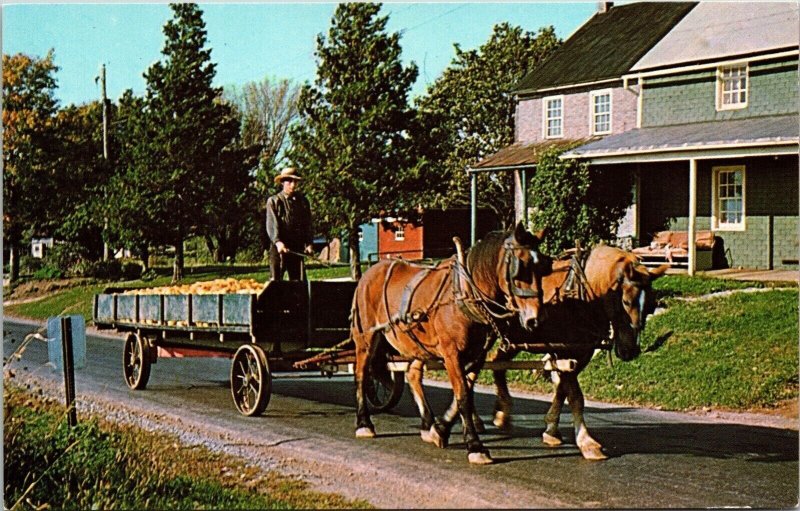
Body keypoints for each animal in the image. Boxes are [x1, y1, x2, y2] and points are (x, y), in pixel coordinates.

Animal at [352, 222, 552, 466]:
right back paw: (364, 423)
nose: (536, 318)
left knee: (412, 374)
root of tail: (369, 272)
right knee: (361, 374)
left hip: (418, 344)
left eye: (544, 268)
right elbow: (463, 396)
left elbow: (465, 391)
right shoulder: (452, 354)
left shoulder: (477, 355)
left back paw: (427, 424)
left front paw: (440, 429)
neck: (465, 293)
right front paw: (475, 446)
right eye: (519, 268)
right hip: (366, 338)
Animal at [410, 244, 664, 460]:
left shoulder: (578, 353)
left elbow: (563, 390)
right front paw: (586, 442)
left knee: (481, 370)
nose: (630, 350)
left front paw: (551, 429)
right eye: (626, 301)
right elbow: (575, 395)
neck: (582, 294)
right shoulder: (564, 352)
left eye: (651, 305)